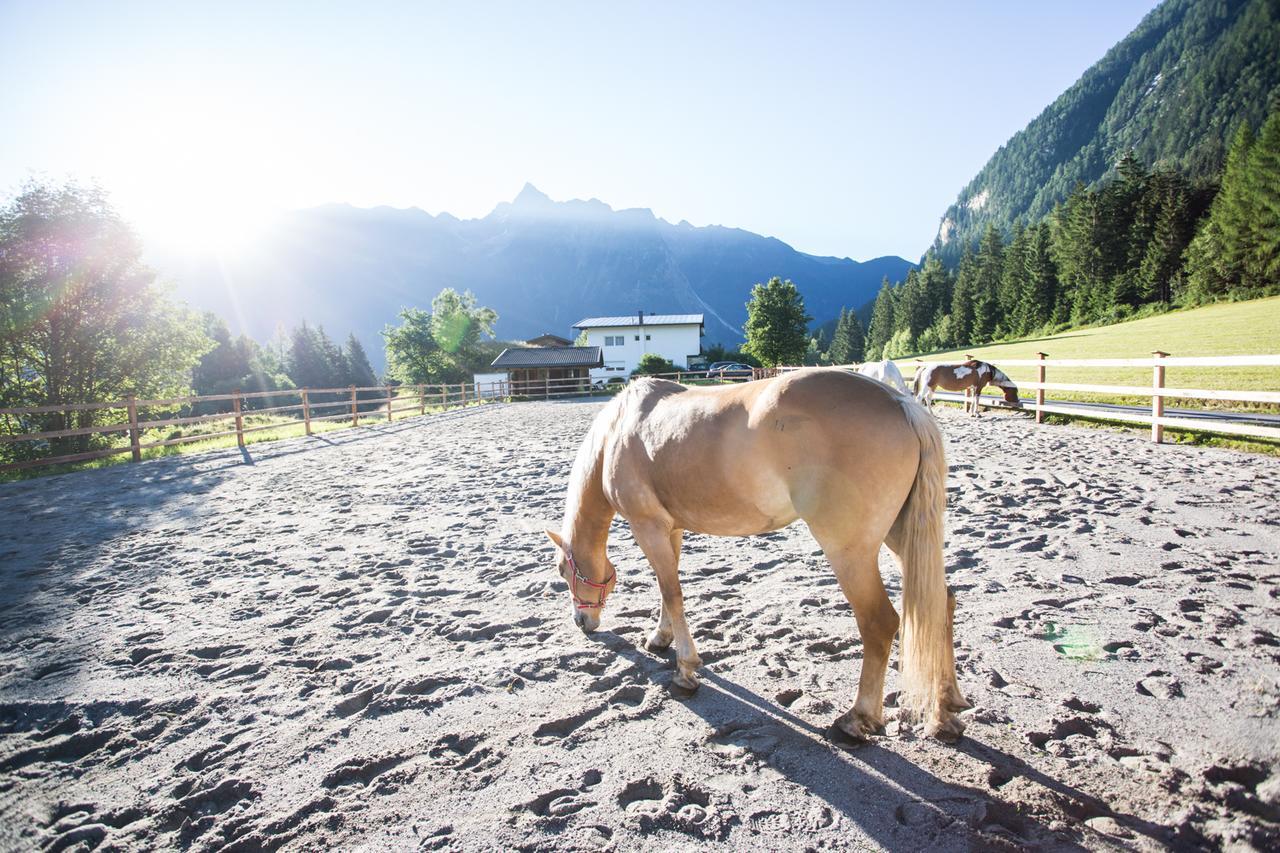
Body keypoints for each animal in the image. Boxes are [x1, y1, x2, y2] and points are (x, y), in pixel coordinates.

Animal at [545, 371, 962, 737]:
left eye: (563, 572)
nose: (582, 622)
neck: (617, 432)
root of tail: (900, 403)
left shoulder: (647, 527)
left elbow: (672, 594)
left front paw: (685, 671)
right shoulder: (670, 530)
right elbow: (668, 590)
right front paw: (660, 638)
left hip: (850, 554)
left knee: (878, 623)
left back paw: (856, 720)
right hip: (901, 536)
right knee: (940, 602)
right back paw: (946, 708)